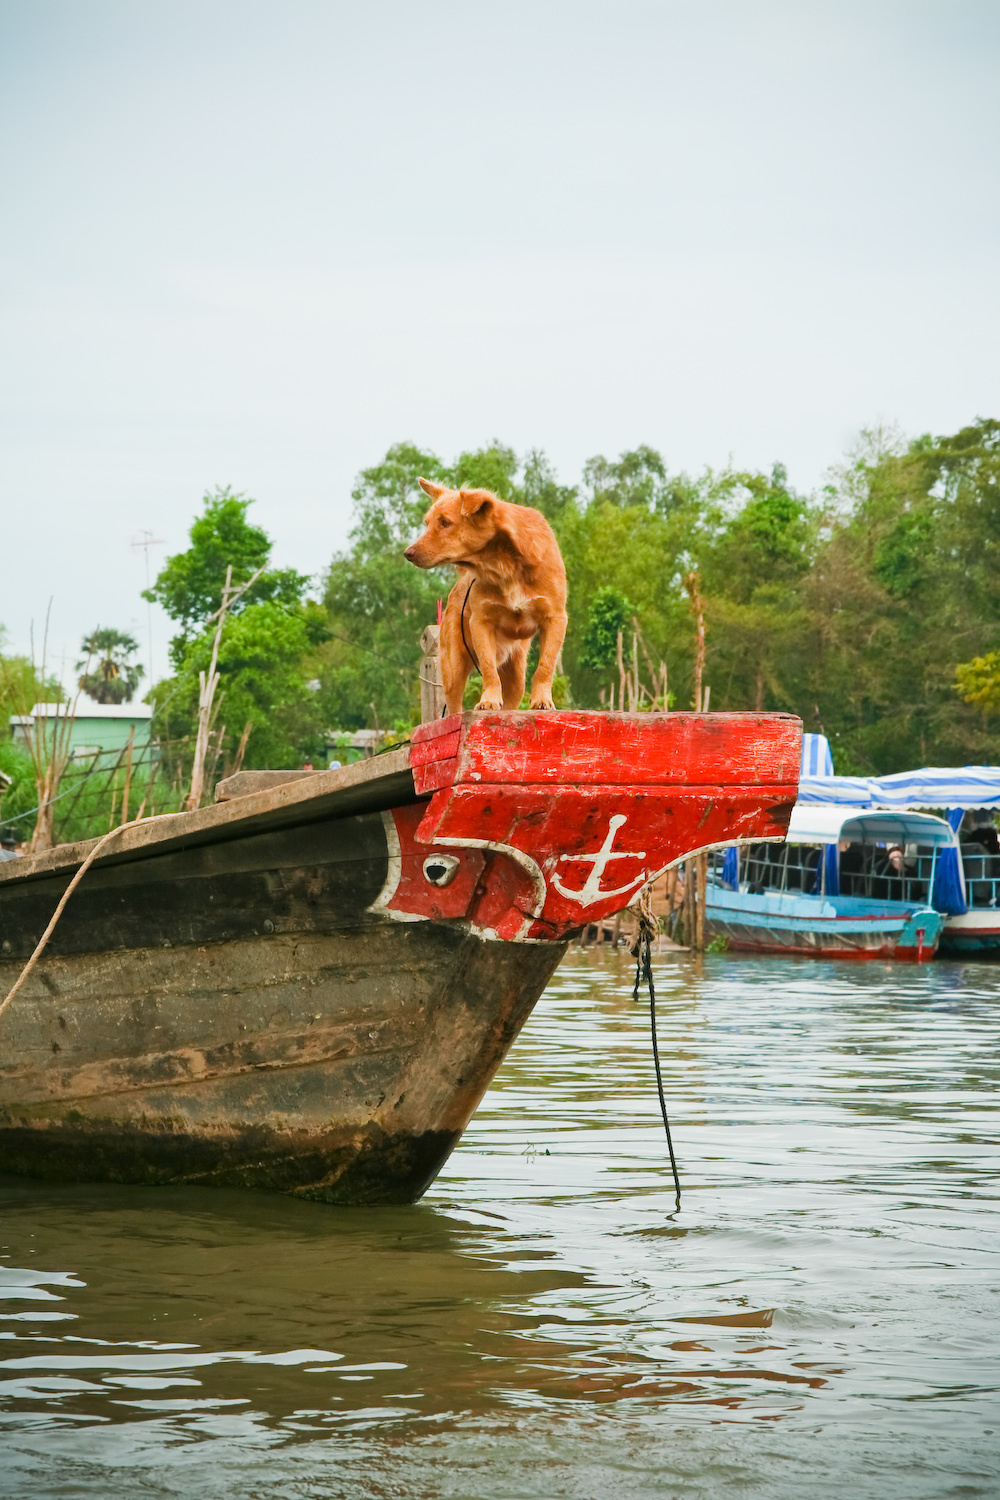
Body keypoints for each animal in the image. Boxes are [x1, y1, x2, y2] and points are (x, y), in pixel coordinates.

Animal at [401, 480, 566, 714]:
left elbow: (546, 665)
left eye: (445, 522)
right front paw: (488, 700)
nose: (408, 553)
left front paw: (541, 700)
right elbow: (489, 669)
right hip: (453, 668)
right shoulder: (480, 622)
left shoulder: (556, 618)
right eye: (427, 523)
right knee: (454, 708)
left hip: (516, 677)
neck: (504, 564)